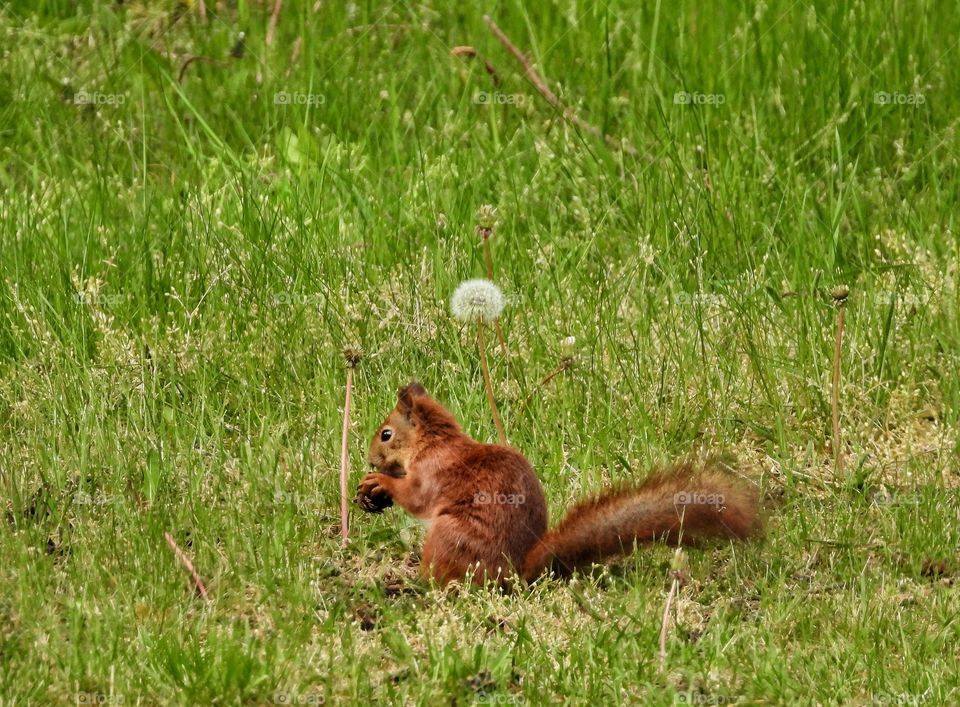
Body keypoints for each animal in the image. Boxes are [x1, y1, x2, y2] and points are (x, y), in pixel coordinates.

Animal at [354, 382, 756, 588]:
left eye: (386, 434)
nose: (371, 459)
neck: (434, 442)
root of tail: (515, 573)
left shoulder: (433, 472)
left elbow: (416, 498)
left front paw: (379, 483)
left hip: (448, 538)